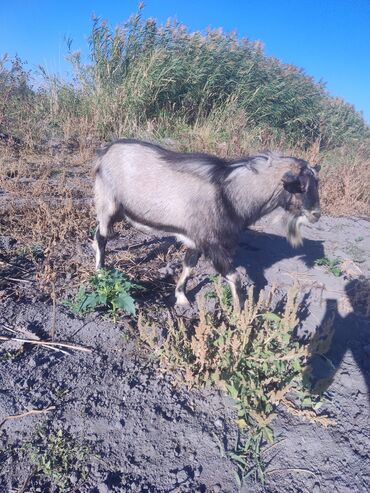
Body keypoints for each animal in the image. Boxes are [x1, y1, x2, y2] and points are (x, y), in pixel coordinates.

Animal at [93, 138, 320, 310]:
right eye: (300, 186)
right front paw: (239, 314)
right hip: (108, 203)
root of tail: (105, 151)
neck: (229, 194)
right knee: (102, 236)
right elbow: (235, 277)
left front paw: (181, 297)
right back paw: (100, 271)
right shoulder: (212, 244)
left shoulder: (196, 240)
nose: (316, 214)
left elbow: (189, 265)